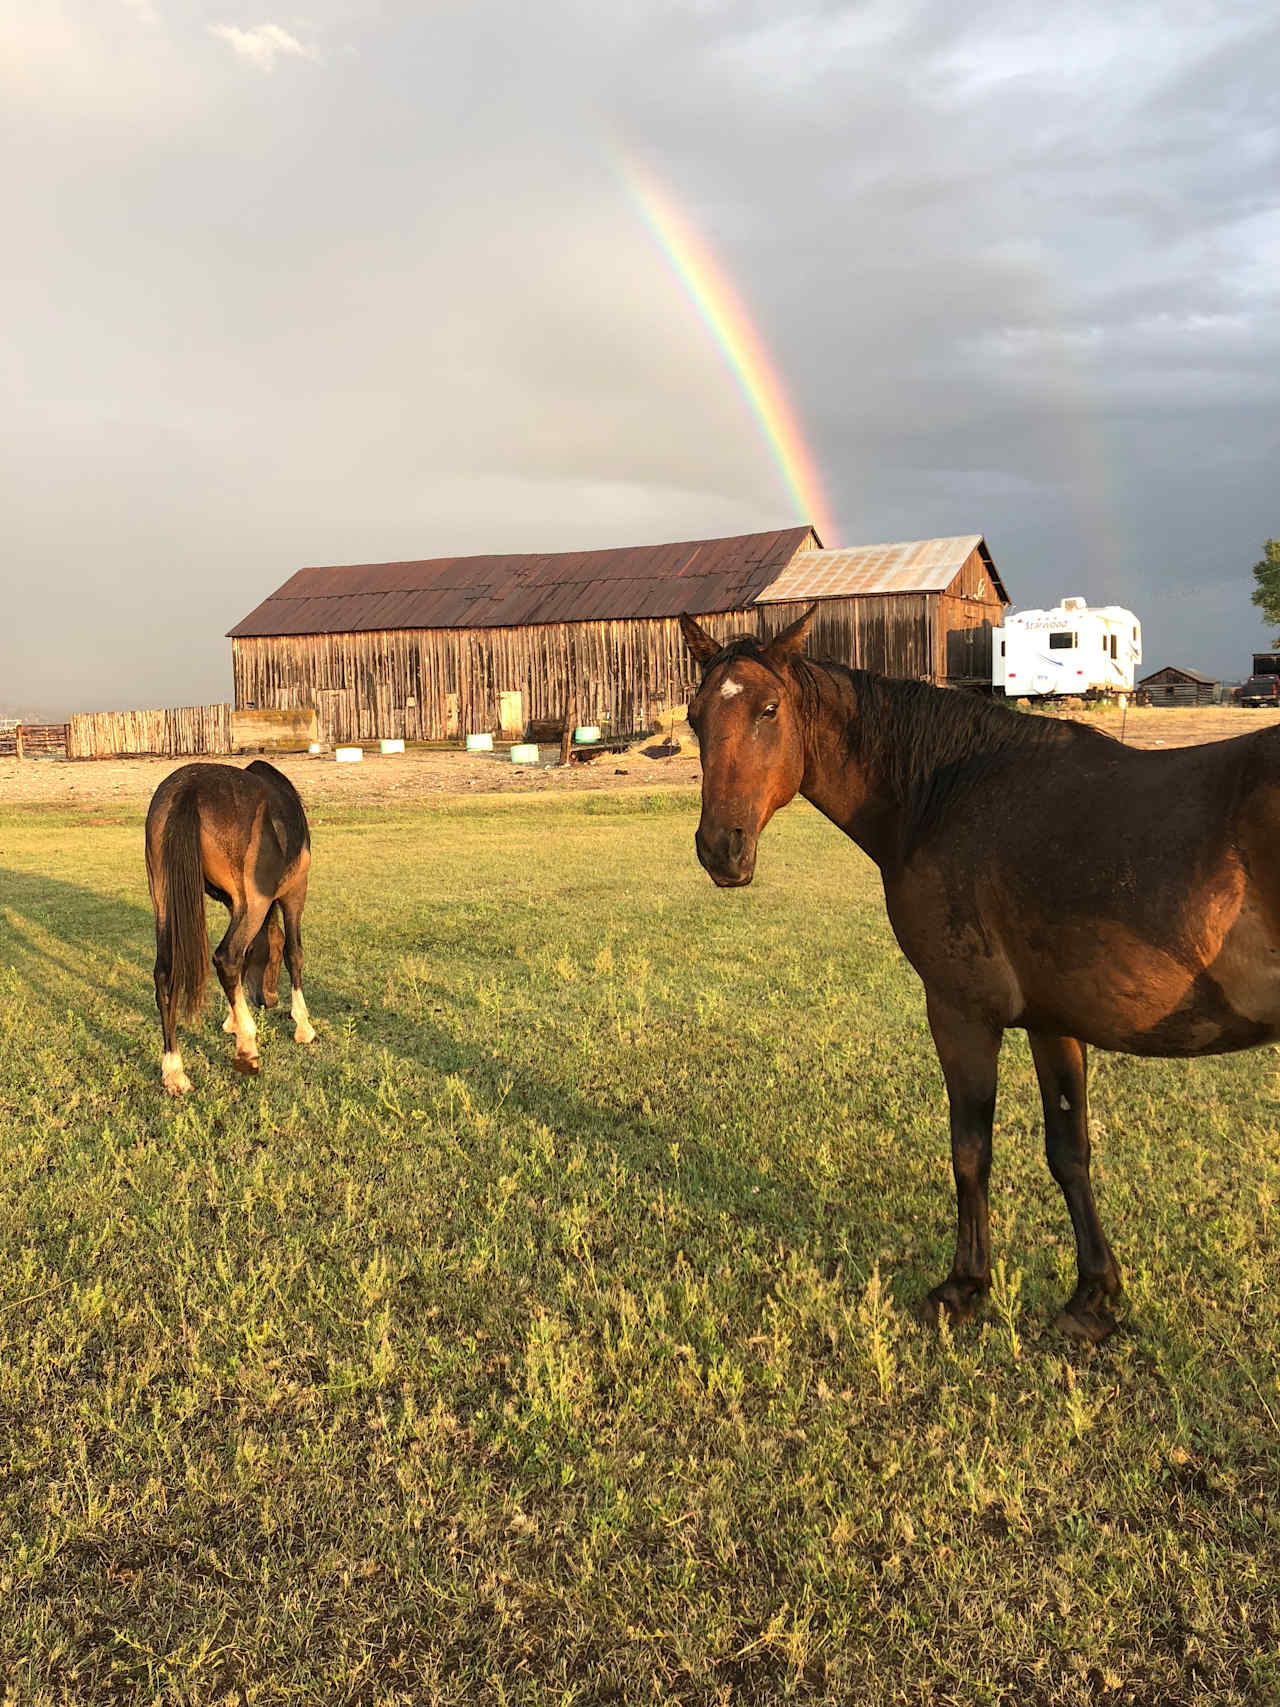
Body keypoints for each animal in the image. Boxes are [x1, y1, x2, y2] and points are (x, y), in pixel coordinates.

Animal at [143, 761, 315, 1092]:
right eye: (272, 958)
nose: (269, 999)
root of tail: (190, 788)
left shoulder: (233, 904)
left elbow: (246, 957)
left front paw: (231, 1020)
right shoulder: (294, 892)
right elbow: (293, 953)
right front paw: (303, 1025)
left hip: (163, 899)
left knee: (165, 975)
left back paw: (174, 1071)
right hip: (256, 902)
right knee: (227, 958)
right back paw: (247, 1048)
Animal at [682, 607, 1280, 1338]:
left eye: (768, 709)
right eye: (695, 718)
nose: (721, 848)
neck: (947, 794)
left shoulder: (960, 1013)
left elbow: (970, 1148)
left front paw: (965, 1285)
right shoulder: (1055, 1023)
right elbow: (1069, 1151)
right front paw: (1093, 1295)